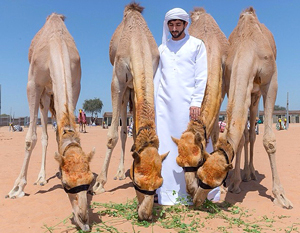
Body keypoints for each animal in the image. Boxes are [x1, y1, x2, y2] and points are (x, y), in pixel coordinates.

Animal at [5, 13, 95, 230]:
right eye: (66, 186)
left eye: (89, 181)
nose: (83, 220)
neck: (56, 45)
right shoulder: (32, 84)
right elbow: (30, 138)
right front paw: (17, 188)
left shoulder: (76, 84)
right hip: (44, 95)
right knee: (43, 134)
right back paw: (41, 178)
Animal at [92, 3, 168, 220]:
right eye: (138, 183)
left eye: (159, 183)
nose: (146, 214)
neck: (138, 42)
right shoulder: (117, 81)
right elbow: (112, 136)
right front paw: (99, 183)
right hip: (125, 89)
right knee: (123, 131)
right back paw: (117, 173)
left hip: (132, 88)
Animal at [195, 7, 292, 208]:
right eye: (199, 173)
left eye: (213, 179)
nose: (198, 199)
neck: (248, 46)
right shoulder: (232, 78)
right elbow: (238, 138)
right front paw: (234, 183)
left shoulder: (271, 82)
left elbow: (269, 140)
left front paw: (280, 196)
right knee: (246, 134)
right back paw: (245, 175)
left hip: (256, 95)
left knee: (252, 134)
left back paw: (251, 173)